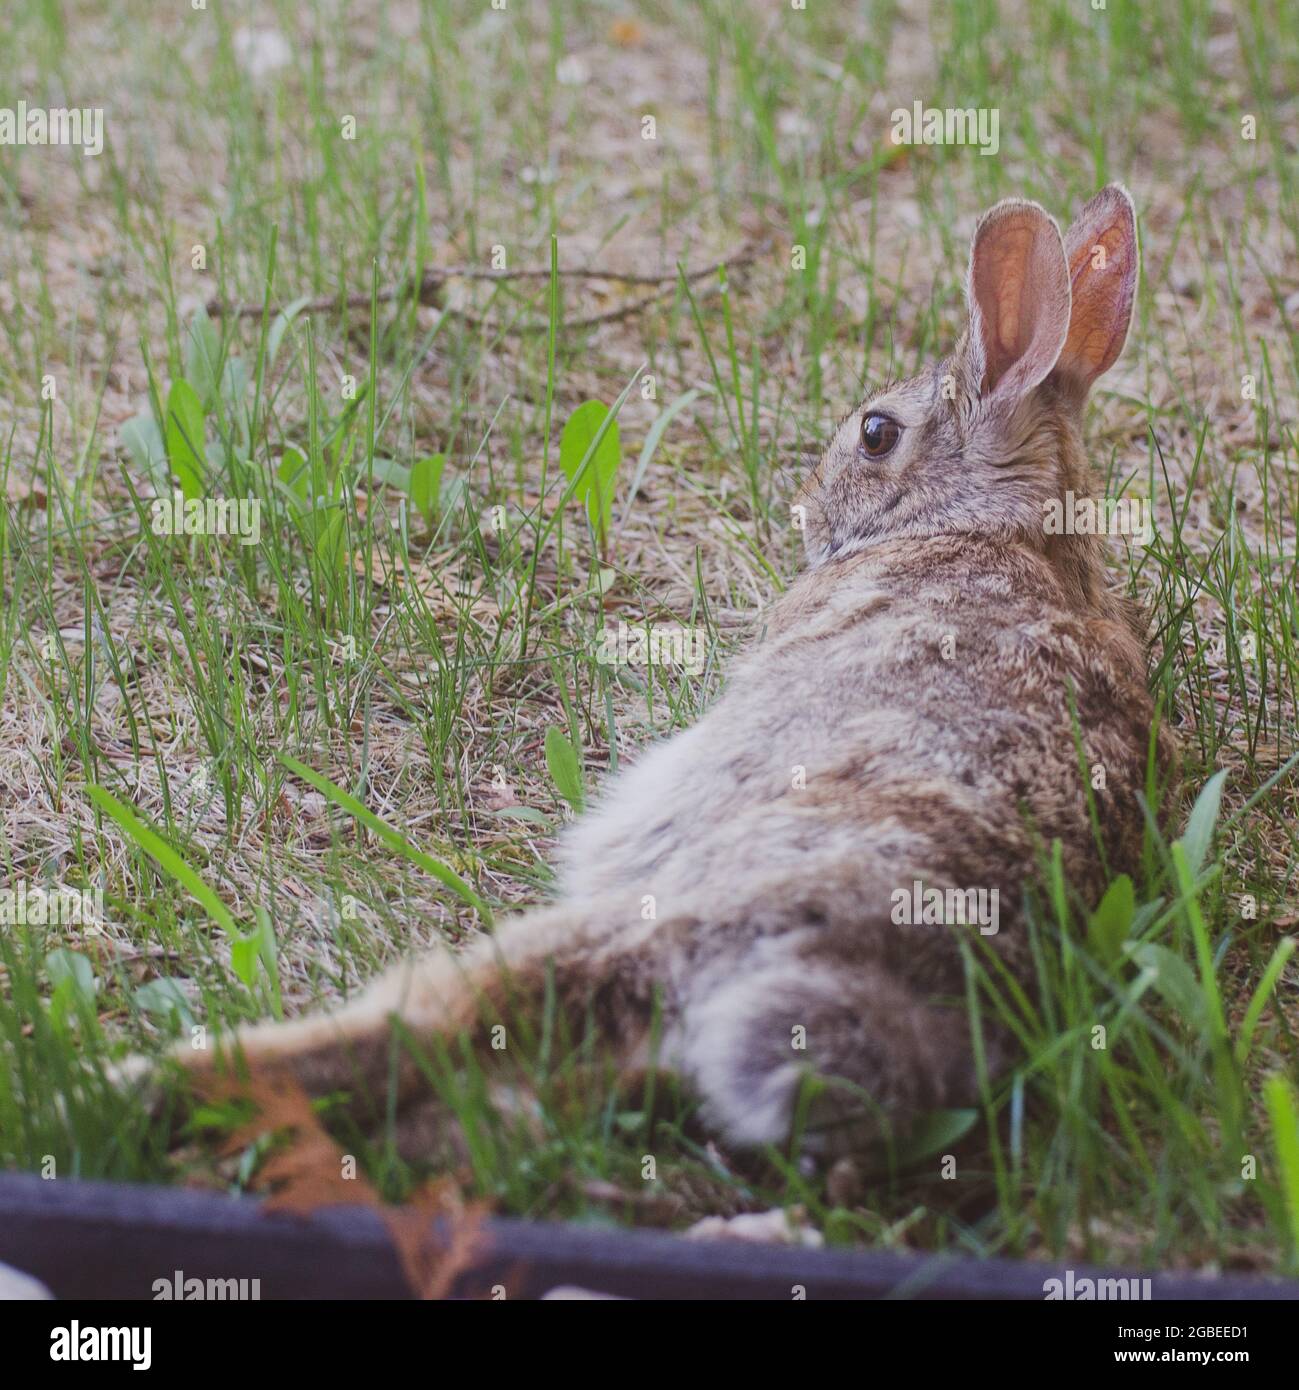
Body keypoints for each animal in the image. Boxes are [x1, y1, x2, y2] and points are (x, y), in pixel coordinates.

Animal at [148, 185, 1176, 1159]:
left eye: (876, 434)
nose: (807, 509)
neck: (994, 526)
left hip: (657, 907)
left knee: (446, 1017)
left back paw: (155, 1085)